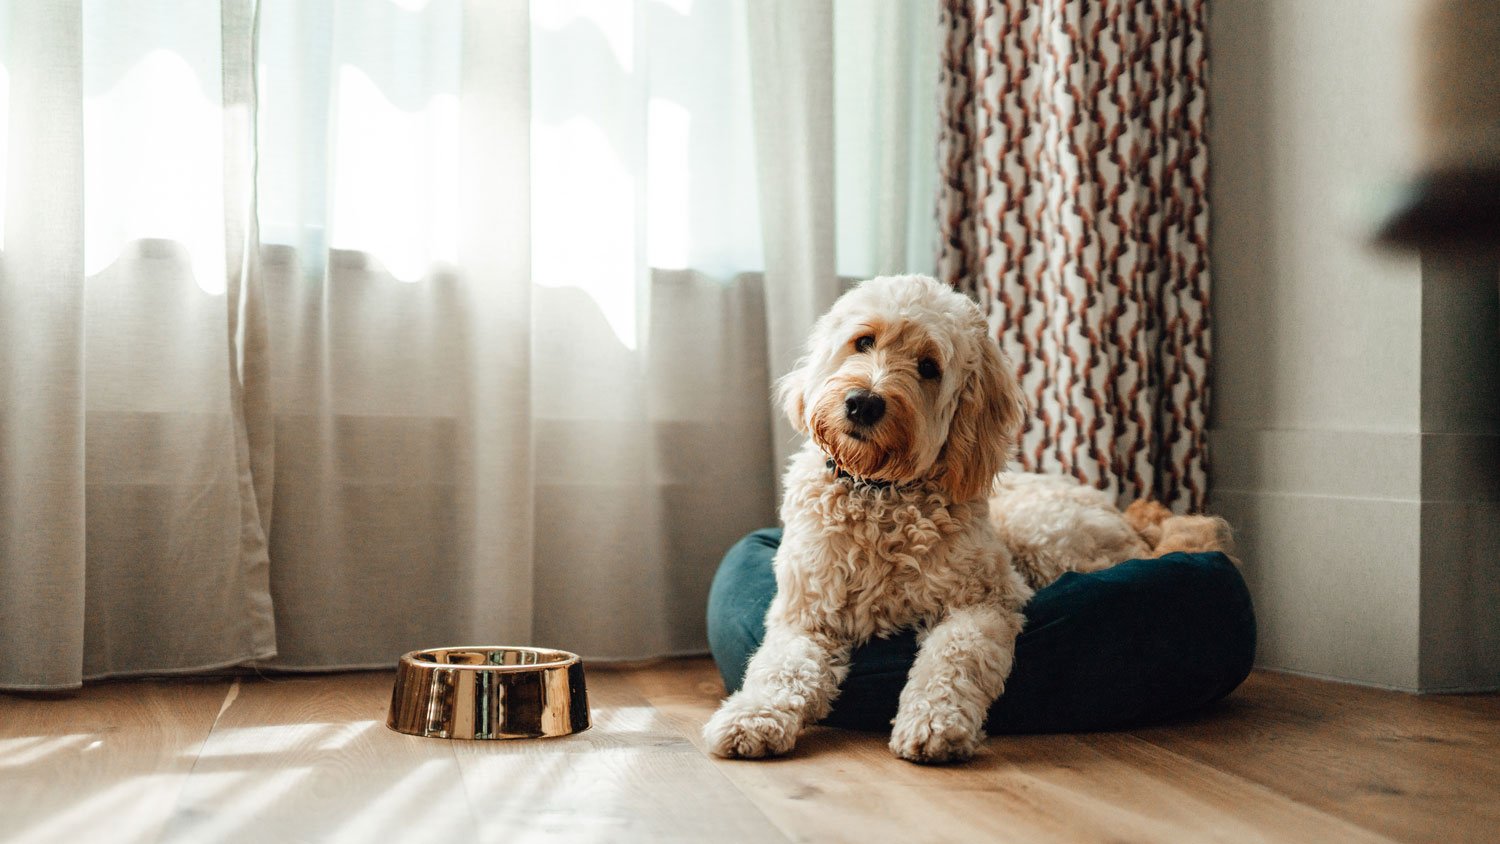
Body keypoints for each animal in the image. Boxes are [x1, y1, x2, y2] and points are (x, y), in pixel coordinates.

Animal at [702, 275, 1230, 767]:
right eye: (864, 341)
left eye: (929, 367)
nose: (863, 403)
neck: (879, 495)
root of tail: (1134, 522)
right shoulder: (805, 615)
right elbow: (779, 668)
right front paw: (752, 715)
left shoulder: (983, 602)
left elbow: (952, 659)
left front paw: (935, 723)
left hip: (1044, 536)